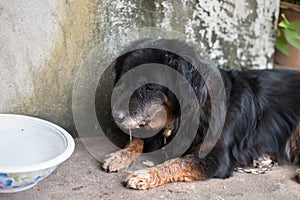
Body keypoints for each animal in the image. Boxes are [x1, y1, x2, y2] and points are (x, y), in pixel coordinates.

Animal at [102, 38, 300, 189]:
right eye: (124, 80)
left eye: (150, 86)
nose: (117, 116)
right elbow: (136, 140)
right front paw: (119, 156)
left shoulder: (216, 159)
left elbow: (177, 162)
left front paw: (144, 175)